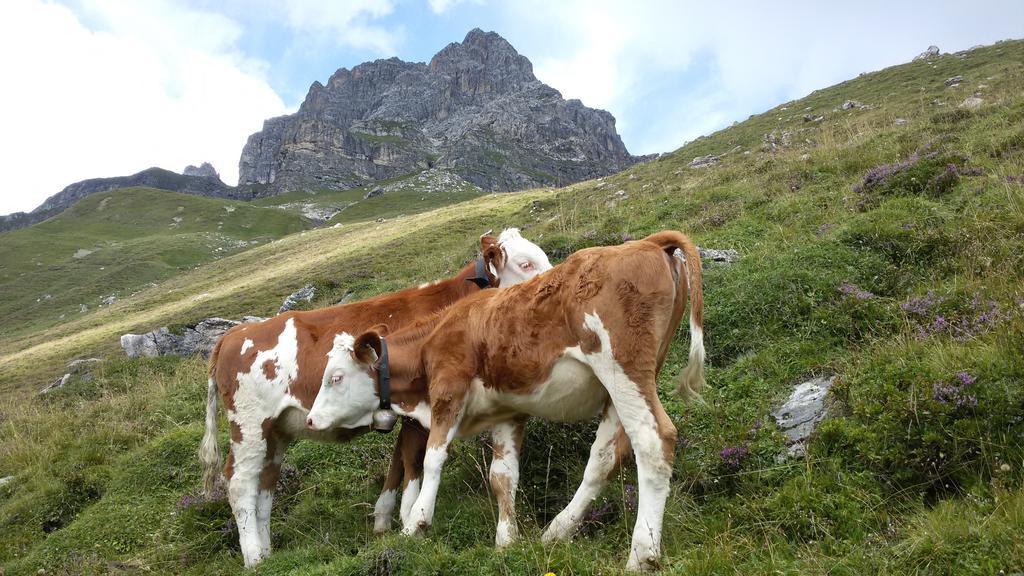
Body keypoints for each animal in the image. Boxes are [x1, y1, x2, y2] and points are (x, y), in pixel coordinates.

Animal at [199, 227, 552, 565]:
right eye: (525, 264)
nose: (553, 284)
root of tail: (233, 334)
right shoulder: (418, 408)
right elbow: (413, 461)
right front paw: (410, 517)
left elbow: (398, 462)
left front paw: (384, 520)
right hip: (250, 425)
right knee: (240, 483)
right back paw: (254, 557)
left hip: (276, 432)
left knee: (265, 485)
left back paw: (266, 551)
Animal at [303, 228, 704, 569]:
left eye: (335, 377)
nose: (309, 419)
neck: (437, 334)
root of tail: (649, 242)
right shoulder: (507, 412)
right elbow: (503, 476)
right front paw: (506, 540)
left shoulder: (448, 392)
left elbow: (433, 460)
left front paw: (416, 522)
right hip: (623, 386)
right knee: (604, 456)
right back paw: (557, 531)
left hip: (623, 369)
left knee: (653, 442)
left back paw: (642, 553)